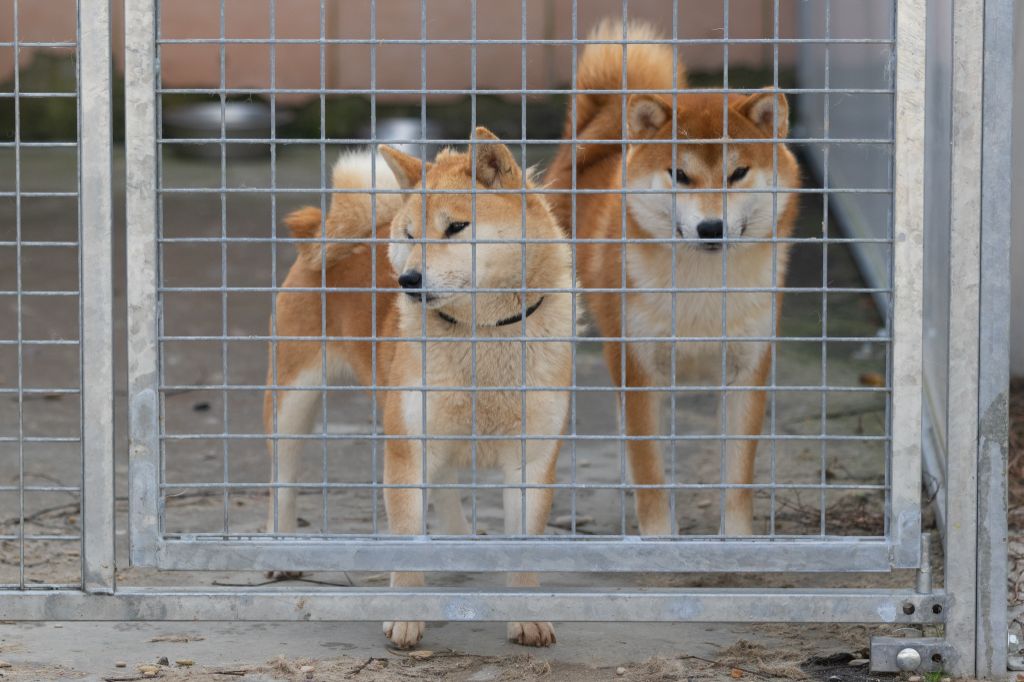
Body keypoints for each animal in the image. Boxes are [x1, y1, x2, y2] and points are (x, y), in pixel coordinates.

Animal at [264, 129, 573, 647]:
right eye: (411, 235)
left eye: (456, 227)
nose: (407, 279)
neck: (481, 335)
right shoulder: (407, 448)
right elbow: (406, 534)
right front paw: (407, 612)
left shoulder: (530, 458)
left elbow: (524, 545)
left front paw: (526, 613)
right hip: (293, 400)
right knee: (282, 478)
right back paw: (280, 548)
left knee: (444, 483)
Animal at [544, 21, 798, 536]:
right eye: (679, 174)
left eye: (738, 172)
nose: (711, 227)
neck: (702, 292)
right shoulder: (639, 366)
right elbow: (652, 472)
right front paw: (660, 536)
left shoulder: (749, 367)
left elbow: (737, 476)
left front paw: (738, 539)